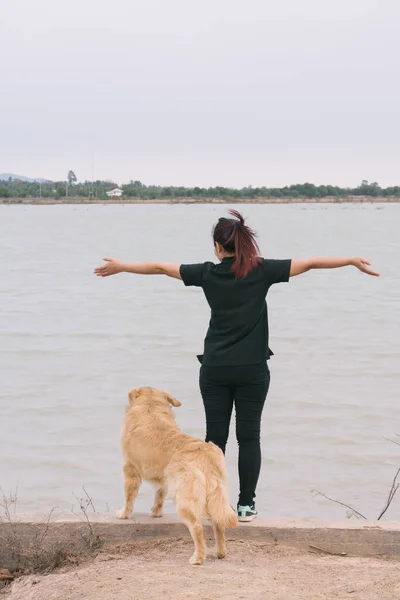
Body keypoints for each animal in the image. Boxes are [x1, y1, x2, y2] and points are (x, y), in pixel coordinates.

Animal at [117, 386, 239, 564]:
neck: (150, 408)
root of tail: (204, 454)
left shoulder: (130, 468)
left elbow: (129, 497)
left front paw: (124, 514)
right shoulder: (164, 478)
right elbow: (159, 495)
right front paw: (156, 513)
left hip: (184, 500)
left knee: (197, 527)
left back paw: (197, 558)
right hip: (214, 495)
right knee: (218, 523)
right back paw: (221, 552)